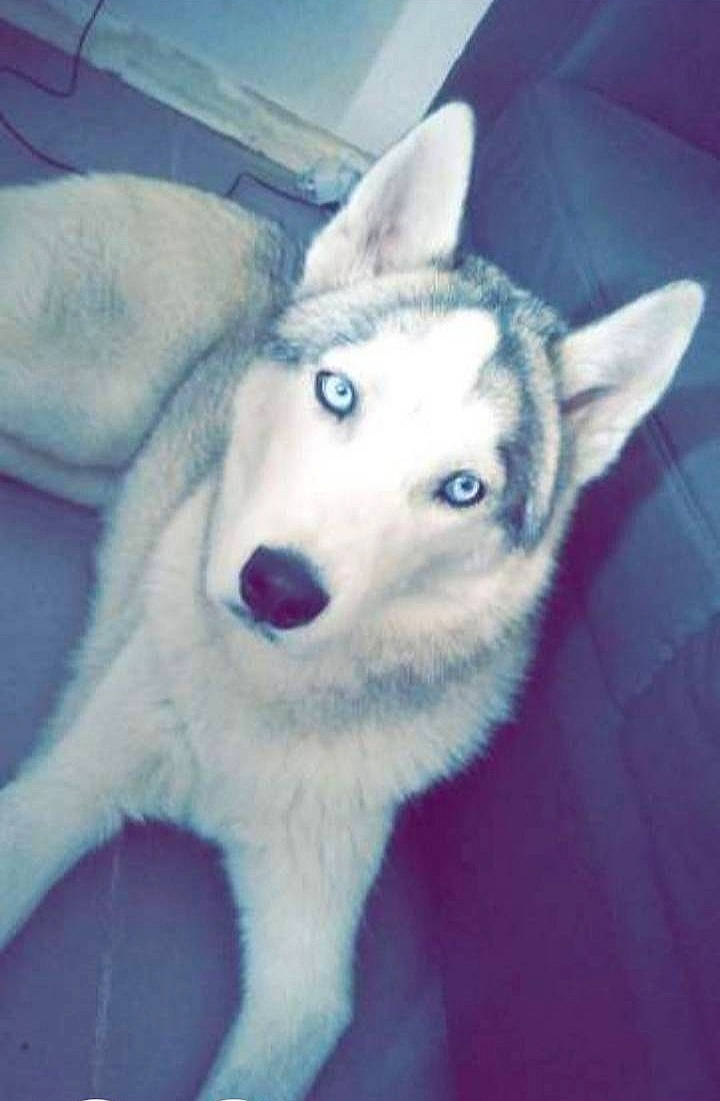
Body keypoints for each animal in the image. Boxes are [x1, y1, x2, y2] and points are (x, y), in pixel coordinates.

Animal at [0, 102, 704, 1101]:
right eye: (338, 391)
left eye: (462, 488)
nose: (279, 587)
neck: (255, 709)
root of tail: (269, 239)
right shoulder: (50, 803)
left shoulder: (305, 985)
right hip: (84, 403)